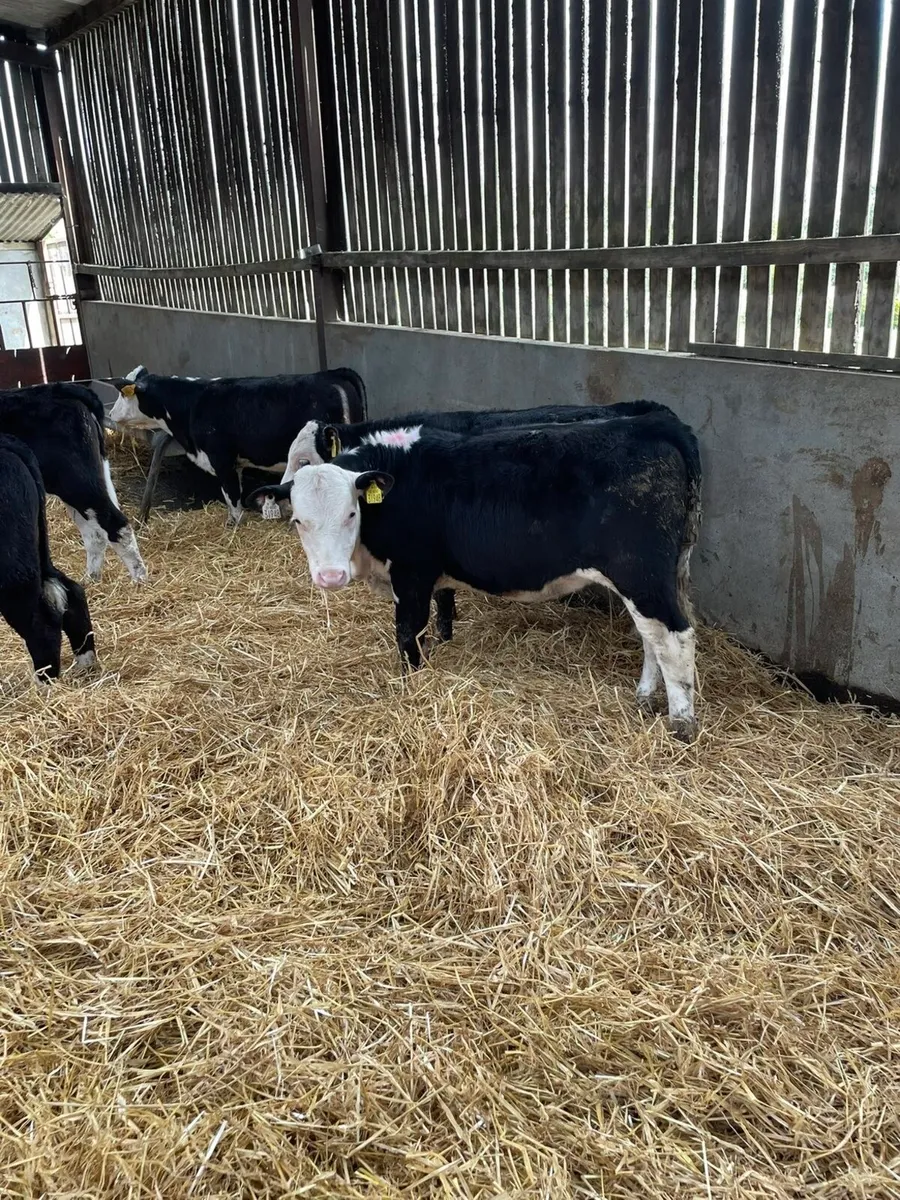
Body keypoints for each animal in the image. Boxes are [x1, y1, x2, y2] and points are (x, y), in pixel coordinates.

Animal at [0, 382, 147, 583]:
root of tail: (62, 388)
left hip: (77, 482)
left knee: (116, 524)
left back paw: (140, 580)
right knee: (95, 534)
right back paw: (91, 580)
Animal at [109, 365, 368, 525]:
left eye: (123, 394)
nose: (110, 414)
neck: (193, 403)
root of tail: (332, 373)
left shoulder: (221, 461)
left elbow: (232, 497)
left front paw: (234, 526)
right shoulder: (236, 463)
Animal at [246, 412, 703, 741]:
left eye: (351, 513)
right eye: (300, 520)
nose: (330, 576)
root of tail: (652, 424)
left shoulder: (412, 574)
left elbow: (408, 637)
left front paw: (411, 688)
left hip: (641, 574)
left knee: (674, 637)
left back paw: (681, 723)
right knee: (651, 638)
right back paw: (644, 698)